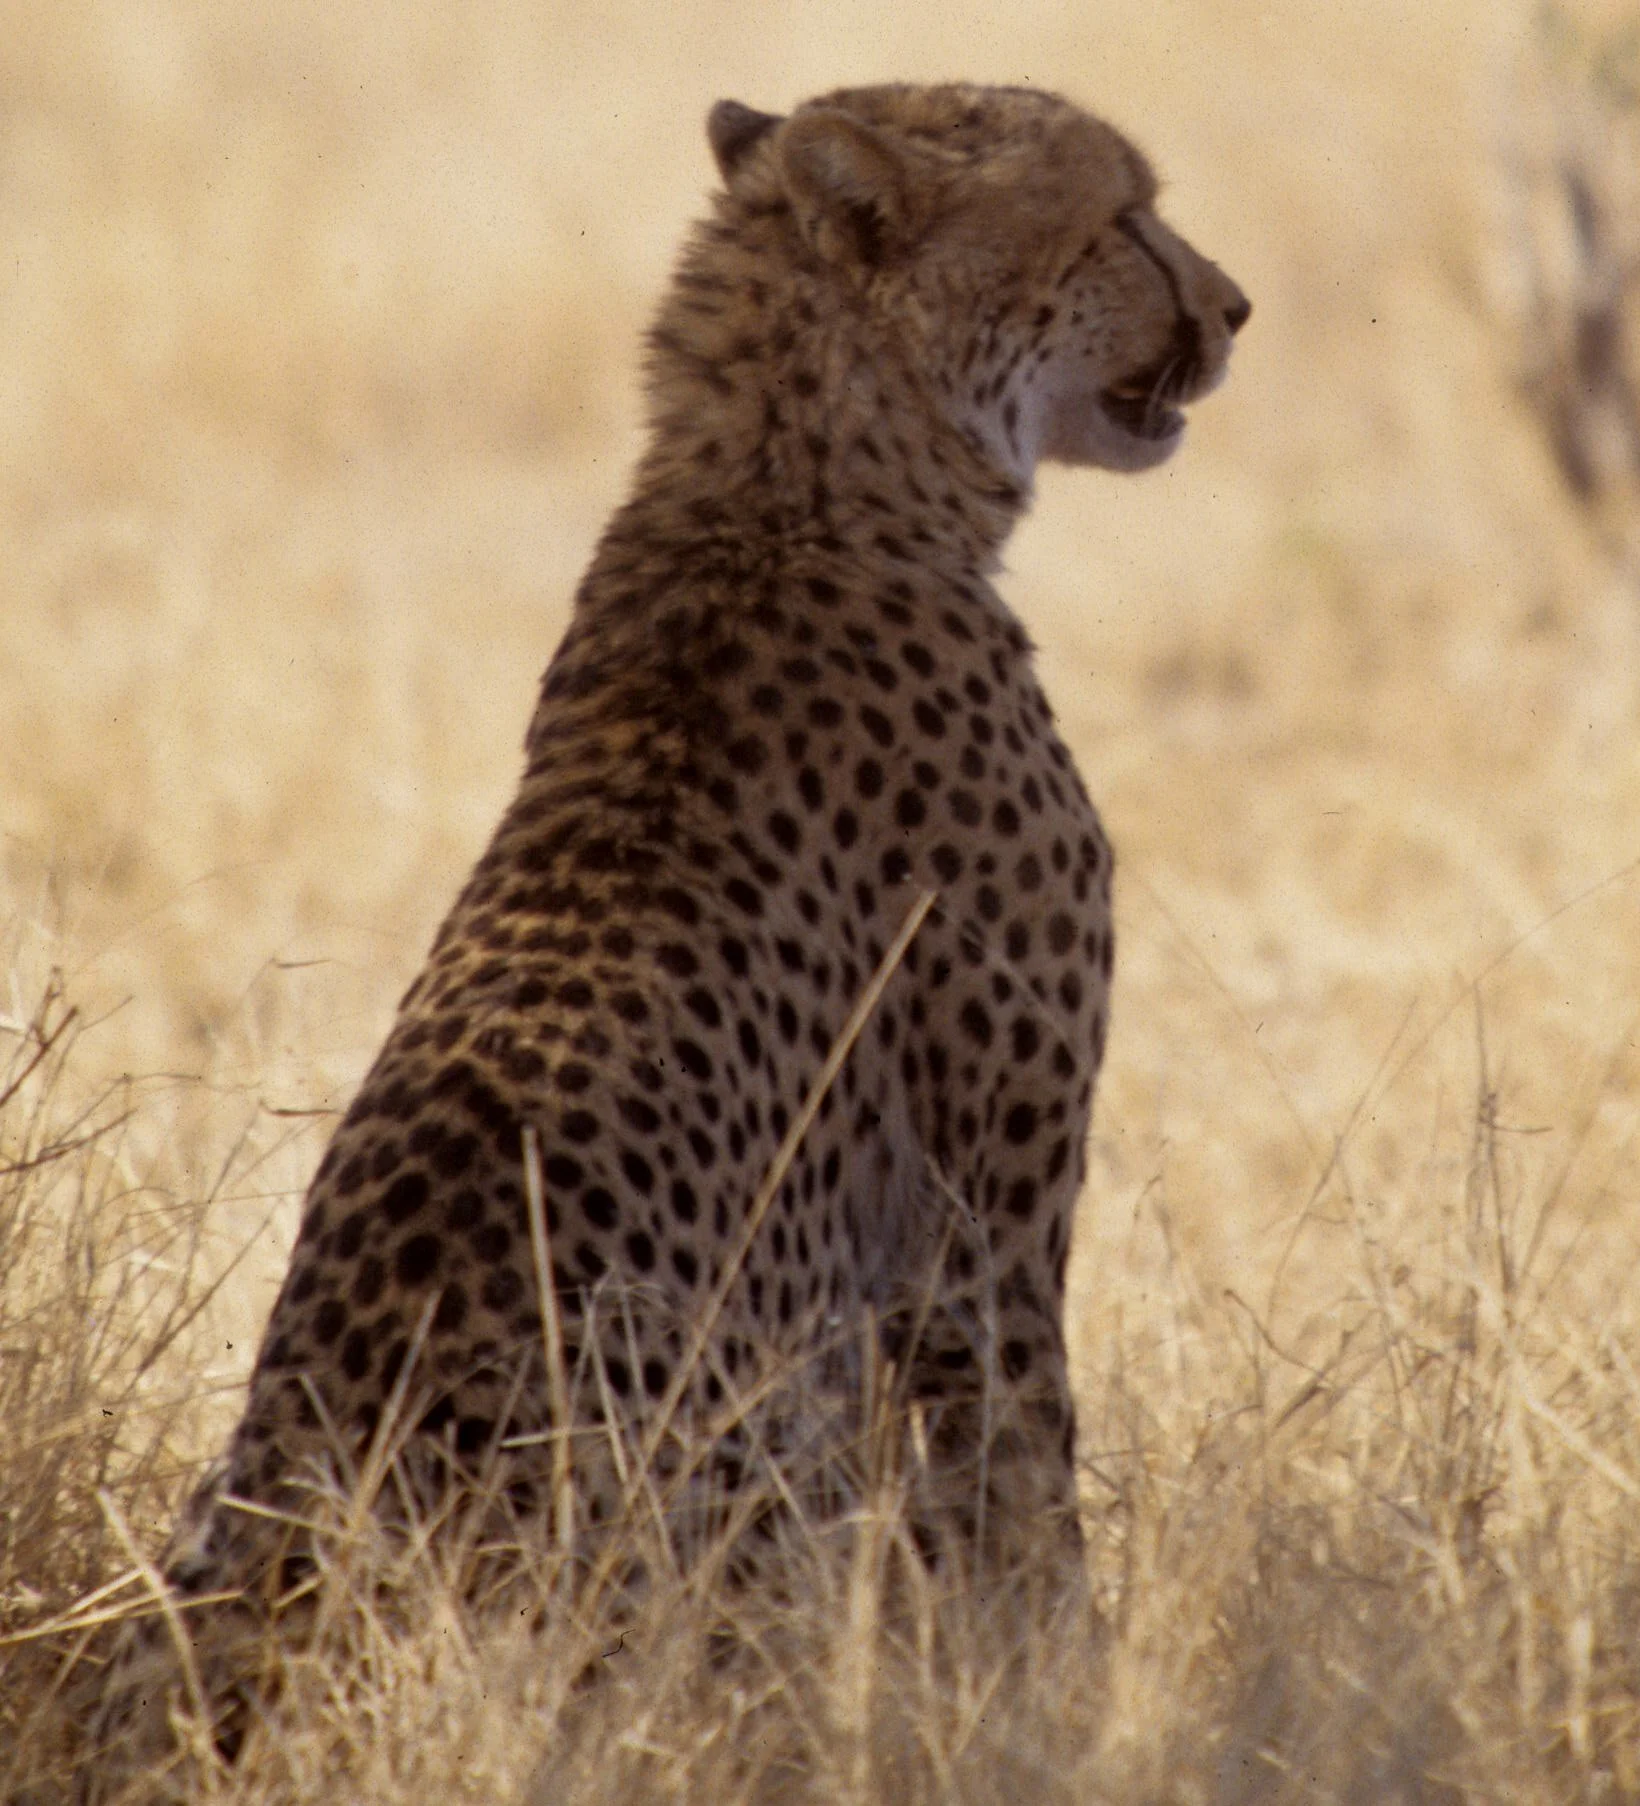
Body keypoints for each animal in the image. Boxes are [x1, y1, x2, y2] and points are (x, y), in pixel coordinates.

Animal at [83, 80, 1247, 1791]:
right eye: (1120, 216)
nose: (1235, 307)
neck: (794, 483)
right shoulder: (977, 1239)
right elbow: (1026, 1499)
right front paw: (1074, 1713)